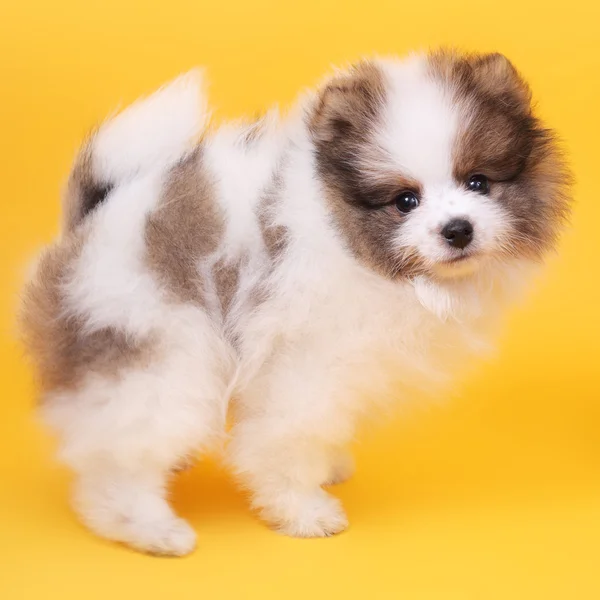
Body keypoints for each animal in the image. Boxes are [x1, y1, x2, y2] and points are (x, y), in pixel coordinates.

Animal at [18, 49, 572, 556]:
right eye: (405, 201)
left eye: (478, 182)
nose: (457, 229)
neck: (346, 238)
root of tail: (89, 224)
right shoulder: (305, 364)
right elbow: (284, 440)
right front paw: (304, 511)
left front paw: (327, 466)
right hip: (160, 350)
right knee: (118, 461)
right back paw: (150, 529)